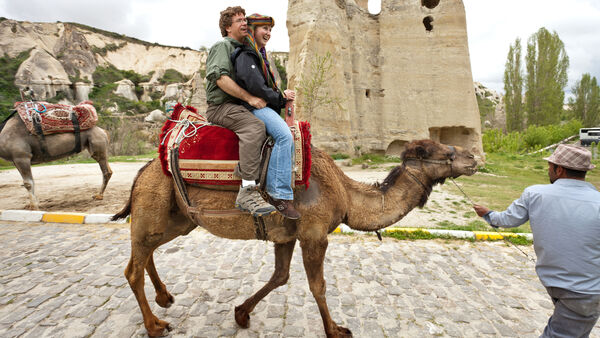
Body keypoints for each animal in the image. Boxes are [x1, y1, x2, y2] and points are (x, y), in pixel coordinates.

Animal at [112, 139, 478, 336]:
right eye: (434, 151)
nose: (472, 157)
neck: (345, 193)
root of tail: (142, 170)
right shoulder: (314, 234)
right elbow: (318, 286)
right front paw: (335, 330)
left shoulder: (285, 236)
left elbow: (280, 276)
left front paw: (241, 314)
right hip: (154, 205)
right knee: (132, 267)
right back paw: (155, 325)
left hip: (177, 218)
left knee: (148, 250)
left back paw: (164, 297)